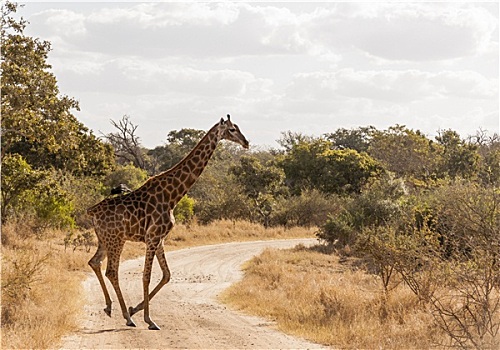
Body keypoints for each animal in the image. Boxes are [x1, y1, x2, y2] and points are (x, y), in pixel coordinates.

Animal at [88, 115, 250, 330]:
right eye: (232, 129)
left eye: (237, 127)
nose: (246, 142)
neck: (172, 196)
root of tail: (92, 211)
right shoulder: (153, 237)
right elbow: (146, 276)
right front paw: (149, 320)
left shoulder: (160, 239)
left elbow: (166, 275)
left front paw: (135, 309)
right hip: (116, 239)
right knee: (112, 271)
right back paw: (127, 318)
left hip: (104, 239)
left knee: (94, 262)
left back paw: (110, 308)